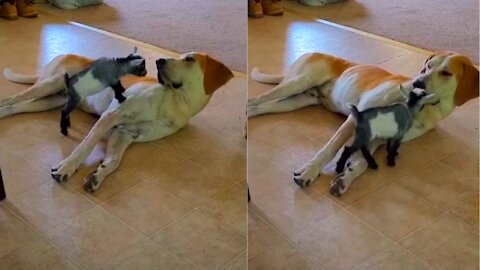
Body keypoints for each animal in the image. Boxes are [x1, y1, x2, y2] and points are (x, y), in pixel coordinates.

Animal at [0, 52, 232, 192]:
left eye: (190, 59)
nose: (159, 61)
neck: (174, 102)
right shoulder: (111, 115)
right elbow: (84, 146)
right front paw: (67, 167)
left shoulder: (124, 133)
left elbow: (114, 162)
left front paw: (98, 175)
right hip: (50, 84)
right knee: (9, 99)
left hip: (51, 101)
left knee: (15, 106)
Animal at [249, 51, 478, 195]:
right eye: (426, 68)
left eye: (446, 73)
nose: (417, 83)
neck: (422, 108)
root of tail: (314, 52)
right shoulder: (355, 118)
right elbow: (329, 149)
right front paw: (309, 172)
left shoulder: (380, 137)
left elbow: (363, 162)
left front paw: (345, 179)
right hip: (296, 83)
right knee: (253, 100)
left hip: (295, 101)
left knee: (258, 107)